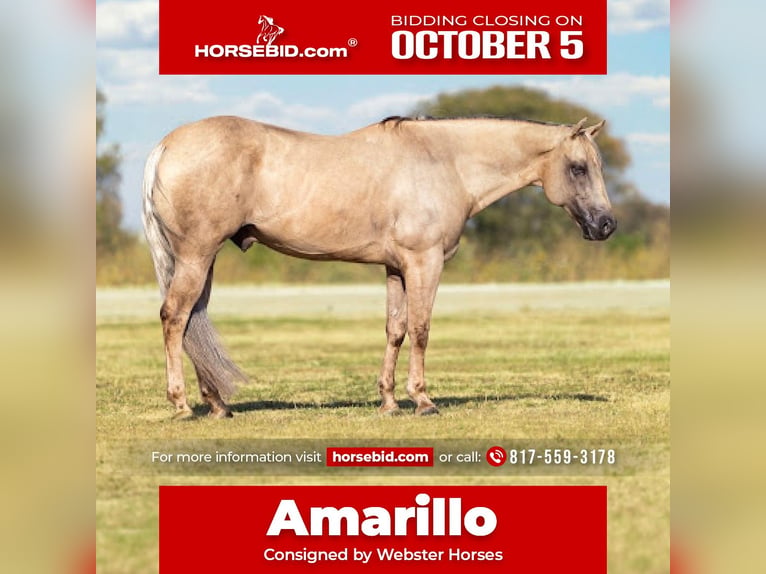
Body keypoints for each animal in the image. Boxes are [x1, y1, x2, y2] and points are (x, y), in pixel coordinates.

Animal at [142, 115, 615, 419]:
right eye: (578, 168)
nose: (606, 225)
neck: (444, 162)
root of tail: (165, 145)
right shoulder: (425, 262)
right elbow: (421, 330)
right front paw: (423, 401)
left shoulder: (396, 268)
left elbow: (396, 330)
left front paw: (388, 402)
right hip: (197, 255)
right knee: (175, 317)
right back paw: (181, 405)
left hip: (203, 259)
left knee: (192, 320)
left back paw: (218, 405)